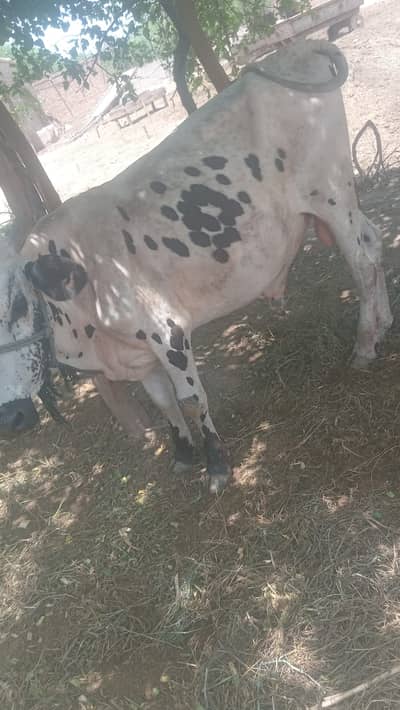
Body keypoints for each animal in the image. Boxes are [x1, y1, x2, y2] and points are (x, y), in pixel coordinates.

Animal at [0, 39, 392, 493]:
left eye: (19, 306)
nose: (11, 417)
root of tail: (296, 50)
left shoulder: (167, 332)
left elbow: (190, 400)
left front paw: (217, 465)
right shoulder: (138, 354)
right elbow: (164, 404)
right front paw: (183, 454)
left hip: (331, 195)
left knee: (363, 263)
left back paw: (364, 345)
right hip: (341, 203)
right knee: (374, 242)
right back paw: (384, 325)